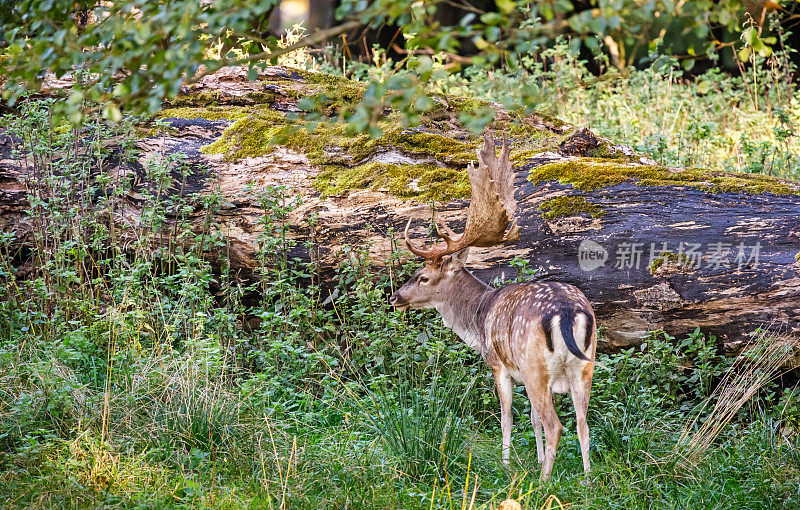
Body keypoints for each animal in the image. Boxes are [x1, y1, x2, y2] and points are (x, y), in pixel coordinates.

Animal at [388, 130, 592, 478]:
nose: (395, 297)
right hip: (584, 367)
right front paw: (535, 458)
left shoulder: (499, 364)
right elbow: (533, 419)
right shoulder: (521, 372)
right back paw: (588, 479)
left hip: (536, 364)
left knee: (557, 425)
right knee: (582, 423)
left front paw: (507, 463)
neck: (478, 317)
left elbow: (507, 415)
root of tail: (568, 313)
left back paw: (544, 481)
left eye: (423, 277)